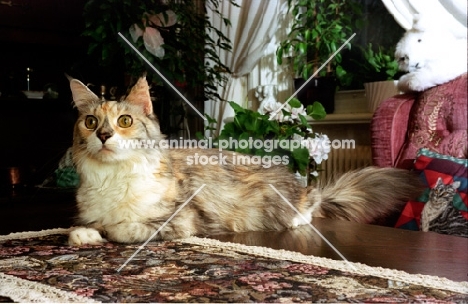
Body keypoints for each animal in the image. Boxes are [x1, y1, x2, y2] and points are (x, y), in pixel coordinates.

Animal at [66, 77, 424, 246]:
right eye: (90, 122)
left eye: (124, 121)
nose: (104, 135)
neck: (113, 177)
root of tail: (304, 188)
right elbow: (81, 226)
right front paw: (85, 234)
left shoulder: (182, 219)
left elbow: (125, 227)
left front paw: (107, 231)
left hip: (286, 203)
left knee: (307, 211)